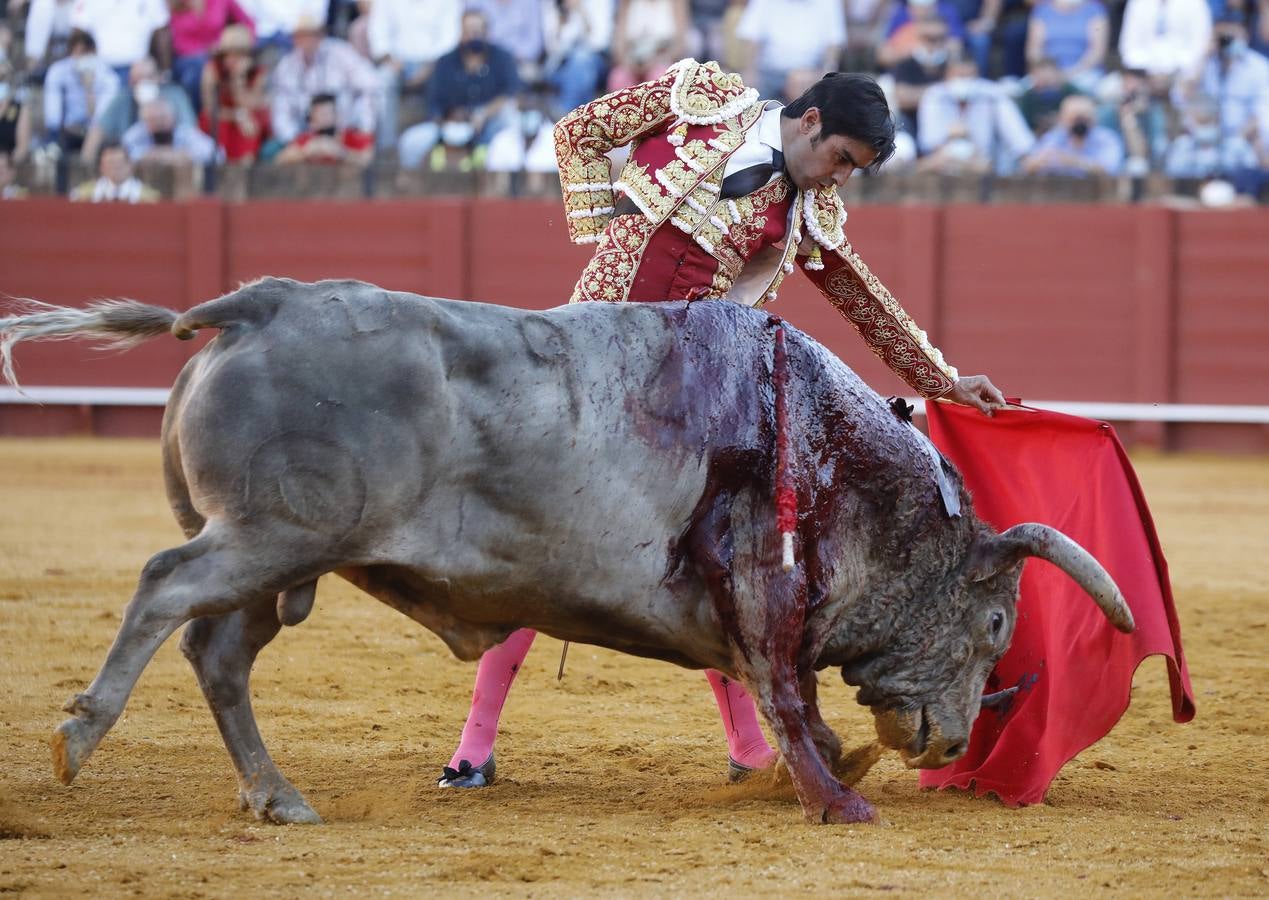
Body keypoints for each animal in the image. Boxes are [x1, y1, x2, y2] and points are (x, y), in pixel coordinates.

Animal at [0, 276, 1131, 822]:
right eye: (995, 619)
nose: (948, 741)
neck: (837, 451)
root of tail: (258, 303)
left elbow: (773, 696)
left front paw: (809, 775)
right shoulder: (762, 594)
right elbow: (786, 694)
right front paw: (840, 800)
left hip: (280, 562)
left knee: (218, 653)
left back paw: (277, 798)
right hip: (269, 538)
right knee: (164, 589)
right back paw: (79, 739)